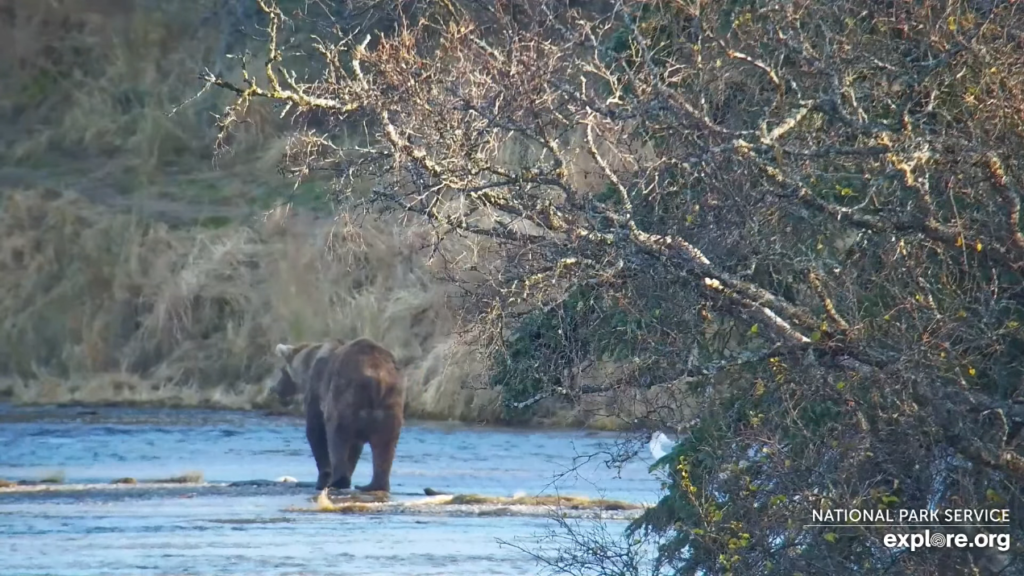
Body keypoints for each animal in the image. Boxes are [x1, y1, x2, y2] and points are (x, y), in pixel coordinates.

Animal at [276, 336, 403, 487]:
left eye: (282, 370)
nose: (275, 388)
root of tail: (377, 377)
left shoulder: (317, 388)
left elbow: (316, 430)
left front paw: (324, 475)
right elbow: (355, 447)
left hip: (344, 394)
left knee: (337, 436)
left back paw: (338, 480)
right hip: (390, 403)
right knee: (386, 445)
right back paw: (373, 485)